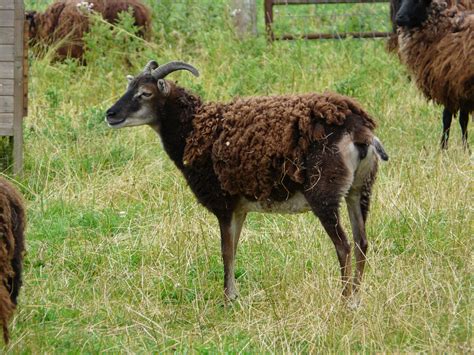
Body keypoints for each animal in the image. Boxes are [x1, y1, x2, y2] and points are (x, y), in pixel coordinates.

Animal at [104, 61, 388, 306]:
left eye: (145, 93)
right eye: (129, 87)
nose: (110, 114)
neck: (195, 128)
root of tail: (359, 130)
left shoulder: (223, 204)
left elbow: (226, 251)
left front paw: (228, 299)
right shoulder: (239, 208)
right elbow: (234, 248)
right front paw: (233, 295)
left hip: (324, 195)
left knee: (344, 245)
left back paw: (344, 301)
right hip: (359, 190)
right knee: (361, 242)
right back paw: (357, 300)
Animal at [394, 0, 472, 149]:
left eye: (418, 1)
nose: (399, 18)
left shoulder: (449, 85)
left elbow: (448, 119)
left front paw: (444, 148)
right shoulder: (461, 90)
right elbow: (463, 120)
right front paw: (465, 148)